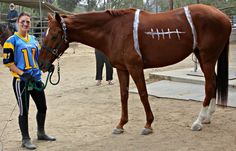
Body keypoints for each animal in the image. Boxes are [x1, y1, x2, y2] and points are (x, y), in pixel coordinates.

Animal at [37, 4, 231, 134]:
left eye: (54, 35)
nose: (41, 64)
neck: (113, 30)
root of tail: (225, 17)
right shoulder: (122, 69)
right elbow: (124, 95)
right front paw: (121, 125)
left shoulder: (135, 67)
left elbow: (143, 93)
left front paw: (148, 124)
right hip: (202, 56)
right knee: (213, 82)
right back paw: (207, 117)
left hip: (207, 57)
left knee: (209, 85)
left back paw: (198, 121)